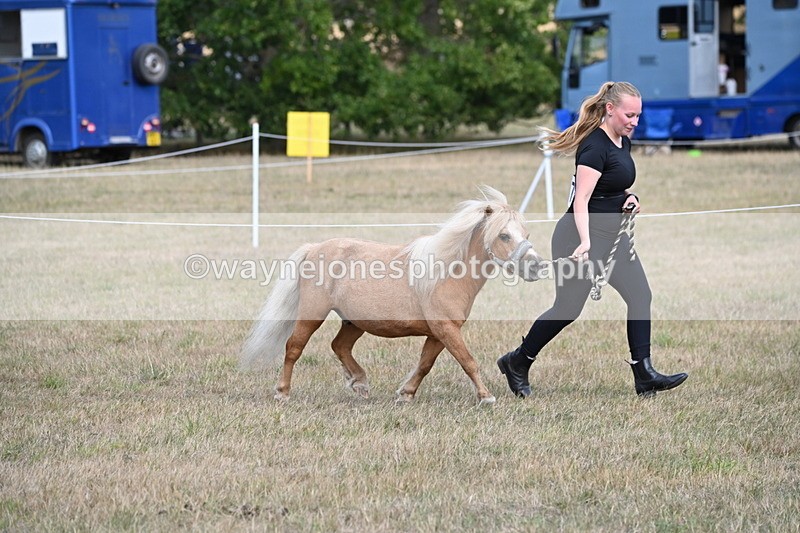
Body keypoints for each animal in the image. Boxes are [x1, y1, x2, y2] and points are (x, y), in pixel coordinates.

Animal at [240, 186, 545, 405]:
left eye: (526, 233)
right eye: (504, 235)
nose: (537, 266)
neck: (446, 272)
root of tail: (314, 248)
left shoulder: (439, 334)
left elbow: (425, 365)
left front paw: (406, 394)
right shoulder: (446, 329)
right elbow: (468, 361)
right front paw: (486, 397)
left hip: (354, 321)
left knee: (340, 346)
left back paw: (360, 384)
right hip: (312, 314)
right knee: (294, 347)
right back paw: (282, 392)